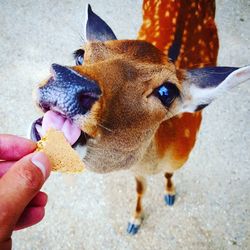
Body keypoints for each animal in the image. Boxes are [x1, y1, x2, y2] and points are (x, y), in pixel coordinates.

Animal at [30, 0, 249, 234]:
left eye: (167, 92)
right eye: (80, 55)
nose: (68, 82)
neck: (157, 159)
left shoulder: (179, 162)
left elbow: (169, 175)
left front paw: (170, 195)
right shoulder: (136, 170)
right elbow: (140, 190)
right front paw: (134, 221)